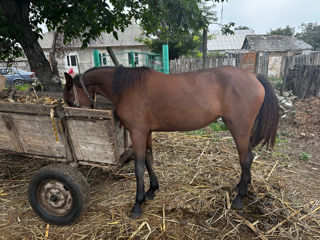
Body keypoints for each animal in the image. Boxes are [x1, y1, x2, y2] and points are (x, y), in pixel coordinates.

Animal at [63, 66, 278, 219]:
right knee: (248, 158)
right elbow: (149, 159)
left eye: (70, 101)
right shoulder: (146, 132)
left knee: (246, 158)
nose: (71, 112)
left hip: (239, 129)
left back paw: (239, 197)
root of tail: (254, 77)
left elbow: (139, 167)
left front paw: (137, 204)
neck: (127, 87)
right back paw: (242, 187)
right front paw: (152, 190)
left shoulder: (137, 132)